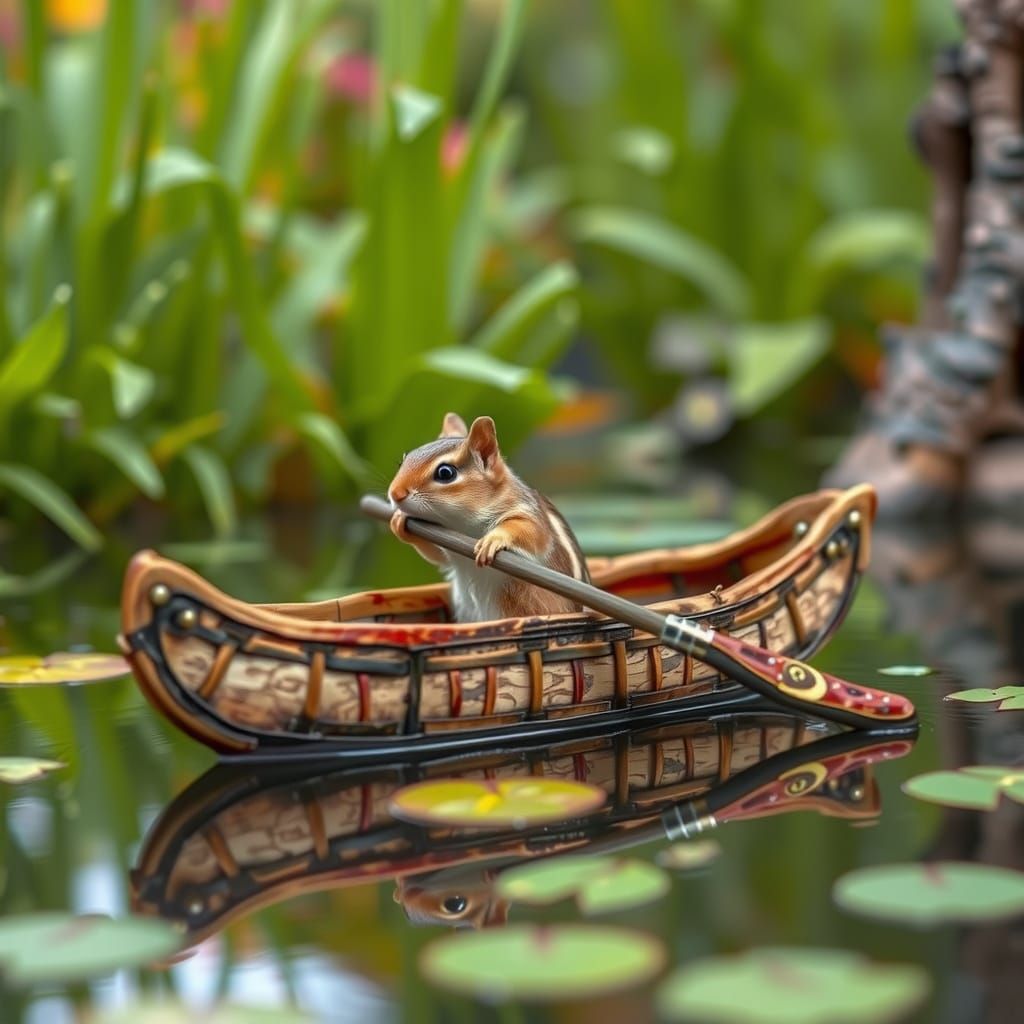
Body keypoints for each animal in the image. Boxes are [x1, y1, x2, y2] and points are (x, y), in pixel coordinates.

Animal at [387, 413, 590, 622]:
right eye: (403, 462)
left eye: (445, 473)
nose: (394, 493)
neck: (460, 524)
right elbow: (438, 556)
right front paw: (399, 521)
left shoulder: (527, 512)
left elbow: (534, 533)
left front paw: (493, 539)